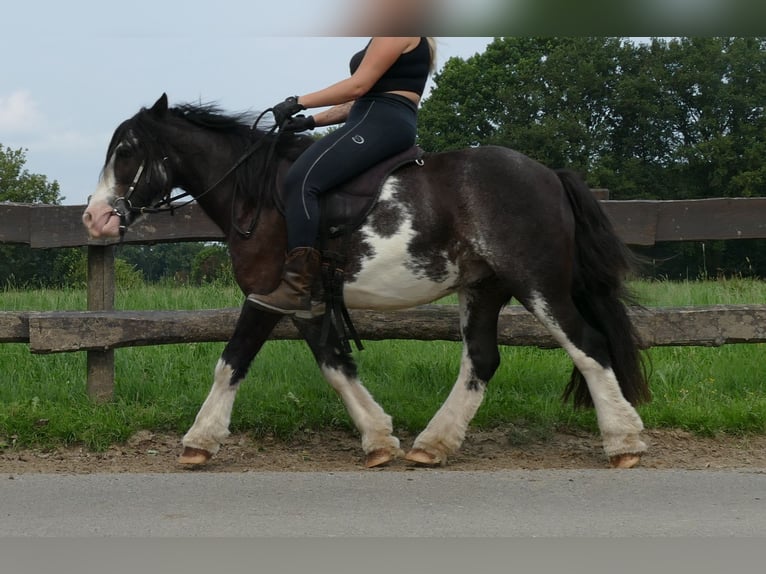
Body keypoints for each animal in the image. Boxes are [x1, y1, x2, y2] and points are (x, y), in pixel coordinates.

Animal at [84, 94, 652, 470]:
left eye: (127, 151)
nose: (95, 218)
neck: (258, 197)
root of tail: (550, 174)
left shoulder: (266, 296)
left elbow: (231, 363)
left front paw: (198, 441)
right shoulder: (304, 301)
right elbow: (336, 366)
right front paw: (379, 439)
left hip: (537, 284)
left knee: (589, 346)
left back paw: (624, 442)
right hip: (483, 288)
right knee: (482, 360)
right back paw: (433, 445)